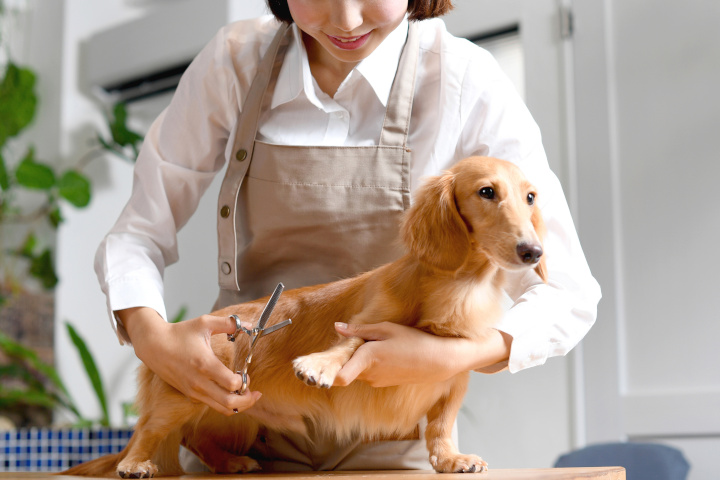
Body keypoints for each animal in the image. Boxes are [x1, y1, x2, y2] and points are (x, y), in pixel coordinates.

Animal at [64, 157, 544, 476]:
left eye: (530, 197)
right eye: (486, 192)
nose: (534, 251)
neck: (457, 289)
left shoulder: (453, 378)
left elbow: (441, 426)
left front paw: (449, 459)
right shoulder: (366, 321)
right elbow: (350, 344)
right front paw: (319, 365)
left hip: (234, 413)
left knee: (197, 437)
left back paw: (230, 461)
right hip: (185, 392)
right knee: (151, 430)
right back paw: (136, 462)